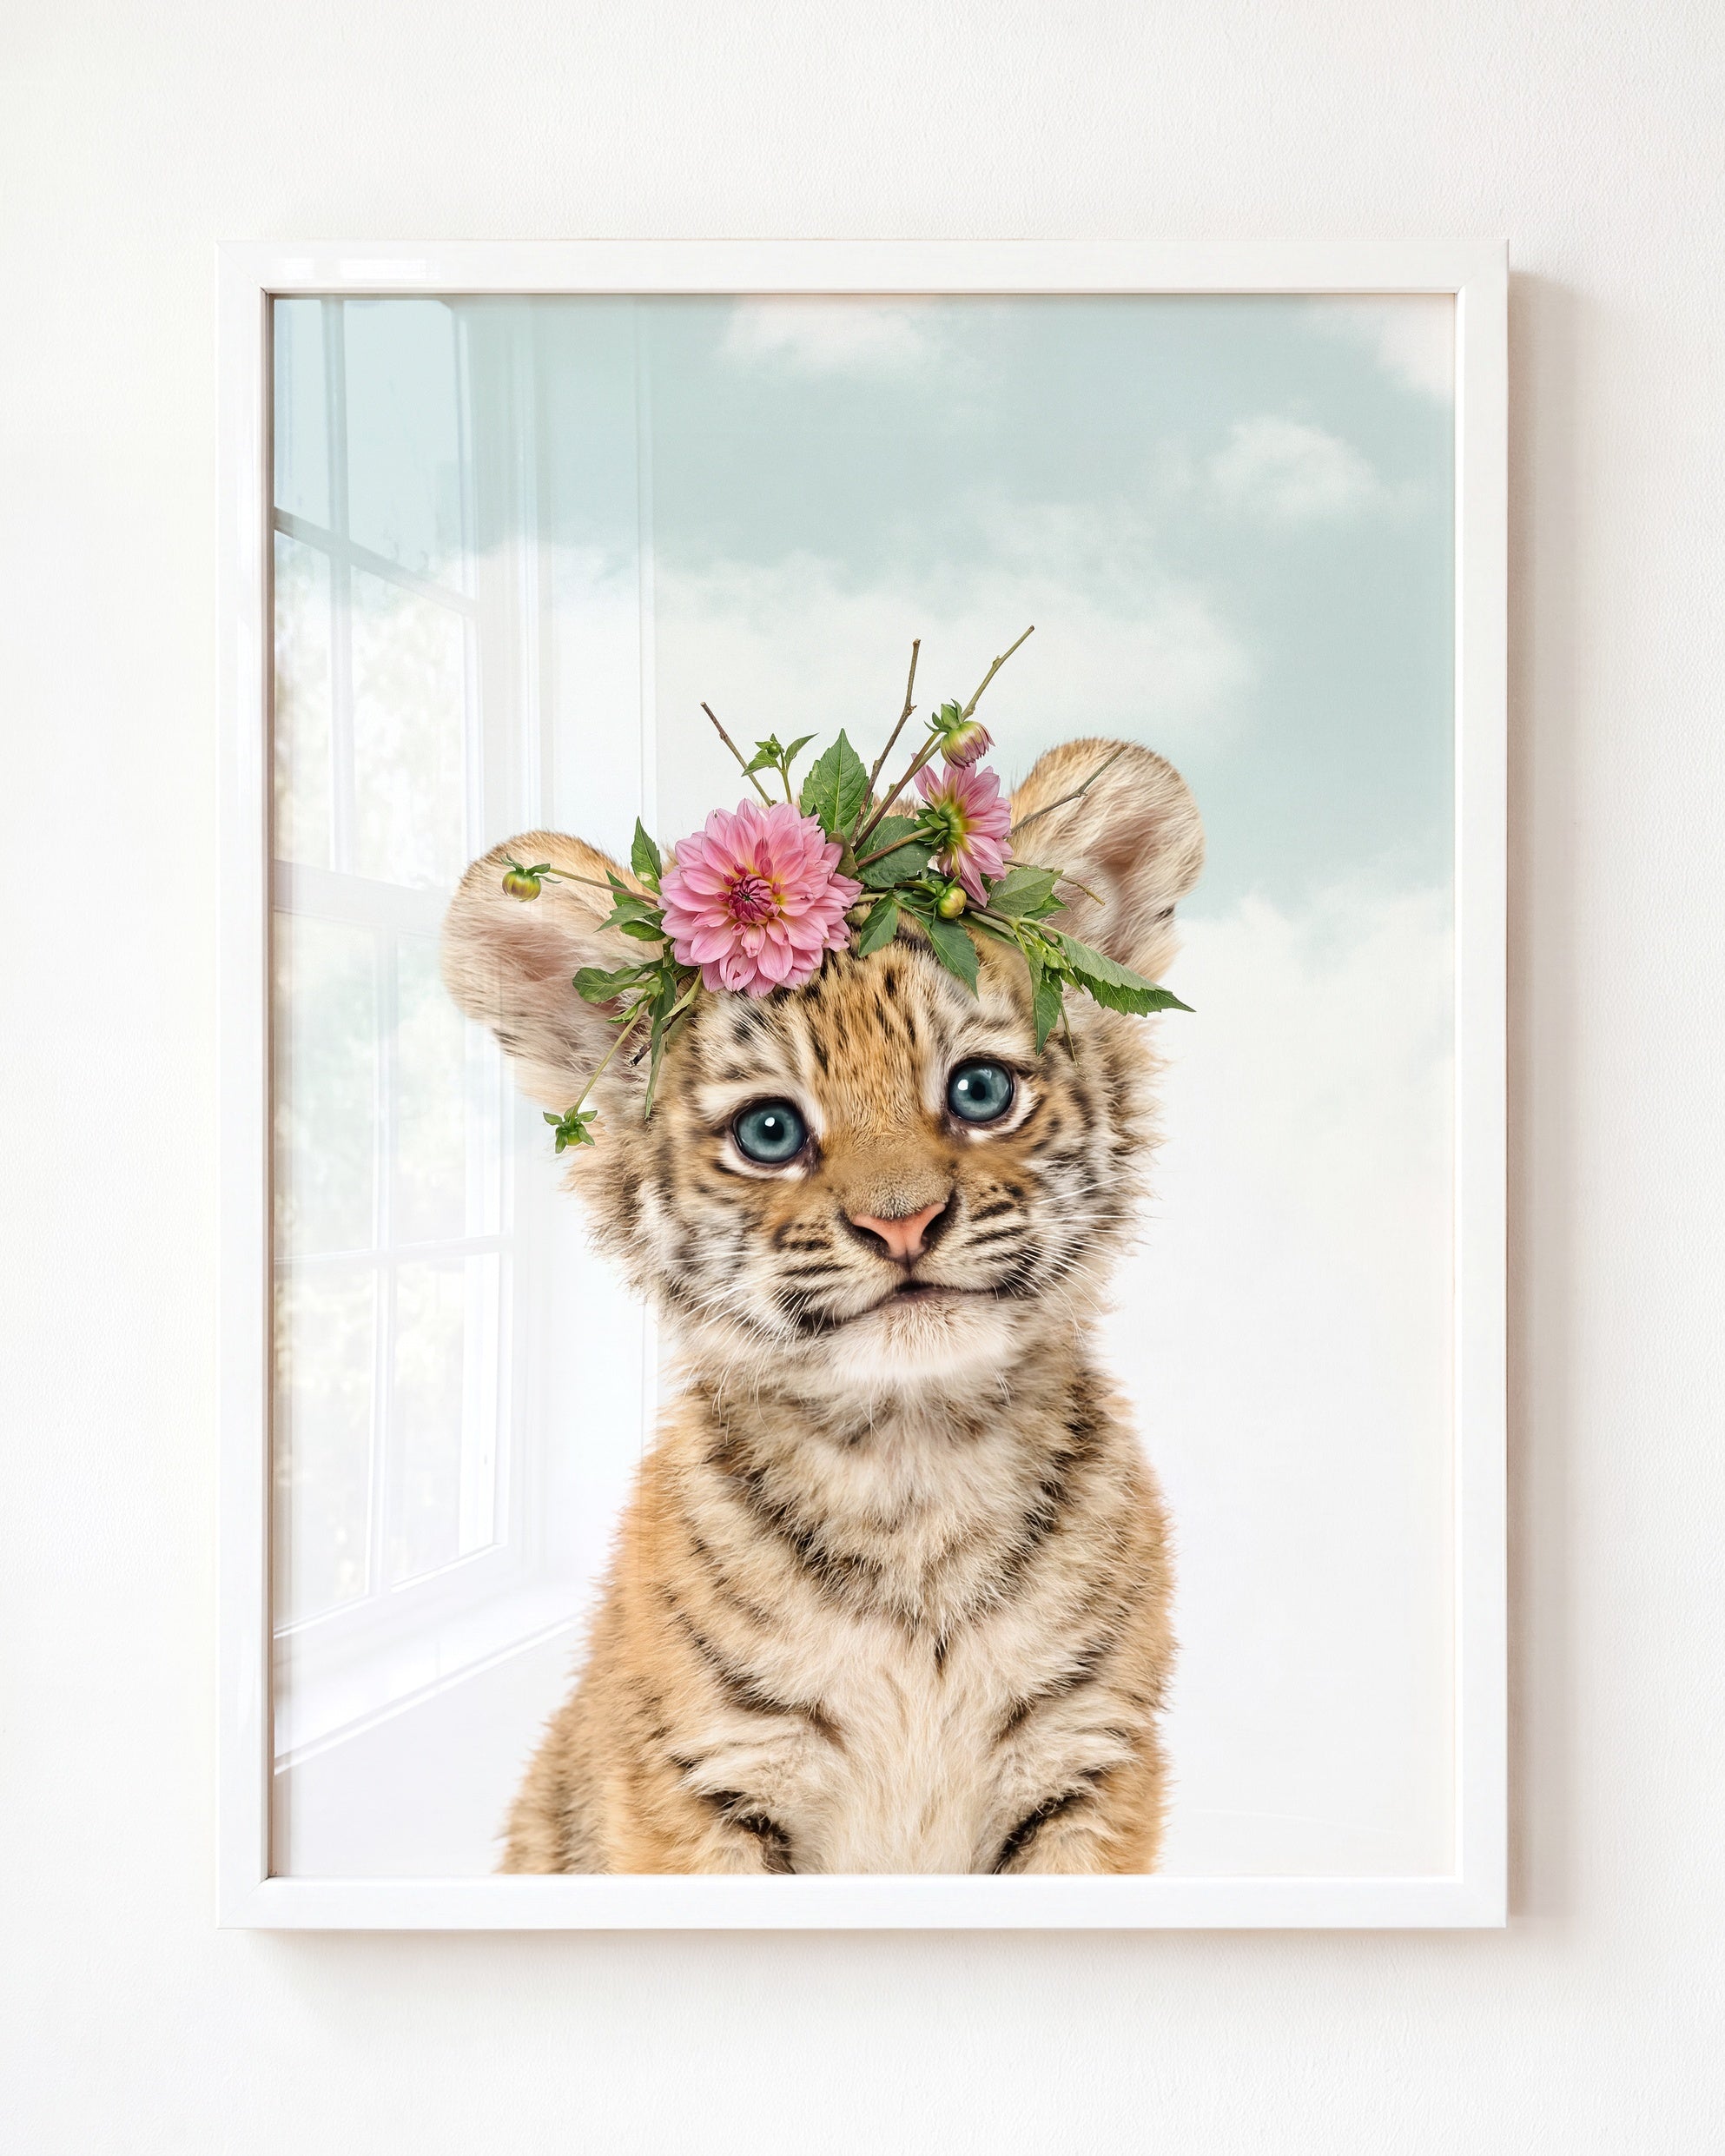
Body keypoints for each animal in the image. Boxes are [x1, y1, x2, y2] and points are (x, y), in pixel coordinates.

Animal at [440, 736, 1204, 1874]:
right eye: (770, 1131)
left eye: (980, 1091)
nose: (903, 1223)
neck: (914, 1467)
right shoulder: (704, 1777)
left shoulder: (1088, 1761)